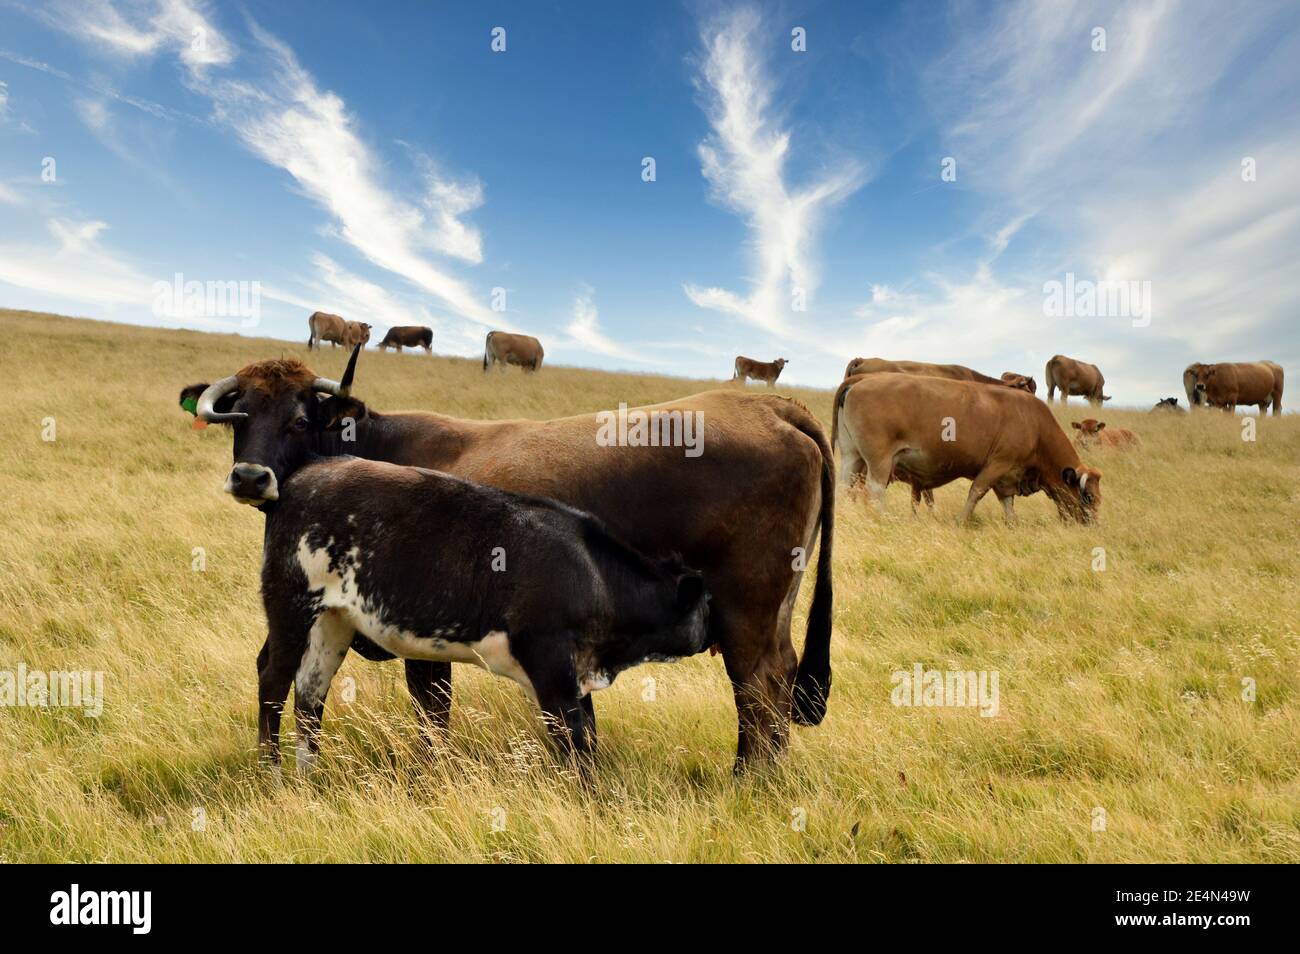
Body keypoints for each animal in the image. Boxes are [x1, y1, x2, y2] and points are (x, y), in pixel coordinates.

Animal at [256, 454, 712, 769]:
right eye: (709, 605)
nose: (713, 636)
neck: (592, 573)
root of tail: (311, 472)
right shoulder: (551, 670)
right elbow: (577, 744)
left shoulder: (573, 676)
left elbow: (589, 738)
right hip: (291, 605)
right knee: (273, 679)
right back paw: (271, 771)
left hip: (332, 622)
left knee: (310, 692)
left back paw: (309, 773)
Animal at [832, 374, 1097, 522]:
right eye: (1089, 497)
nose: (1092, 522)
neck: (1035, 425)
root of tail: (861, 380)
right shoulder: (997, 465)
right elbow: (976, 492)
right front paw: (961, 520)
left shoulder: (1007, 477)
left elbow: (1007, 504)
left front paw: (1013, 523)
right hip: (879, 462)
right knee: (874, 491)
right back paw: (881, 517)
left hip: (852, 457)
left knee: (844, 487)